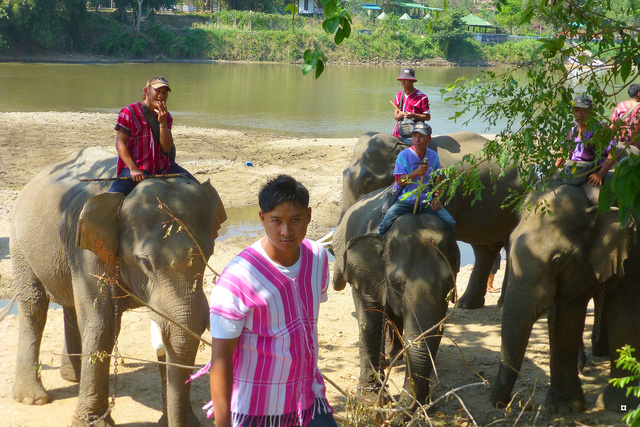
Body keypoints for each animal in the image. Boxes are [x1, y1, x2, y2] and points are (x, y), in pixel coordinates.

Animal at [10, 148, 226, 427]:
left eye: (208, 254)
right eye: (145, 262)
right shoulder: (90, 251)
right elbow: (102, 323)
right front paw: (91, 423)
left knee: (70, 306)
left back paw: (73, 377)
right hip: (19, 242)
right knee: (34, 305)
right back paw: (32, 398)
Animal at [330, 187, 460, 422]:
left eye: (449, 282)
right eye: (398, 283)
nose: (400, 413)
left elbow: (435, 331)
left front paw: (424, 406)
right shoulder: (364, 272)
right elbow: (370, 322)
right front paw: (369, 399)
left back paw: (395, 356)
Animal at [340, 132, 520, 310]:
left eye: (369, 182)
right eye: (343, 173)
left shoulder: (446, 190)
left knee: (508, 243)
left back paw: (501, 304)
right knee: (484, 249)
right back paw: (467, 304)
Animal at [490, 183, 640, 414]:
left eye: (557, 260)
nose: (506, 403)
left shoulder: (634, 254)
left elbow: (626, 316)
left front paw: (618, 405)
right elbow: (565, 319)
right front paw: (564, 408)